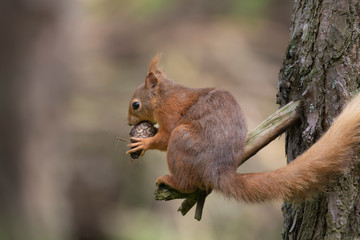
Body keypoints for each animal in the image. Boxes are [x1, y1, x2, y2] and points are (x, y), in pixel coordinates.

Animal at [126, 54, 360, 202]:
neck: (164, 96)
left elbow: (164, 138)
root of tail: (216, 170)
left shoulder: (171, 113)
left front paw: (143, 142)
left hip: (182, 140)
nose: (128, 122)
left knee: (187, 183)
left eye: (135, 104)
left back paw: (171, 181)